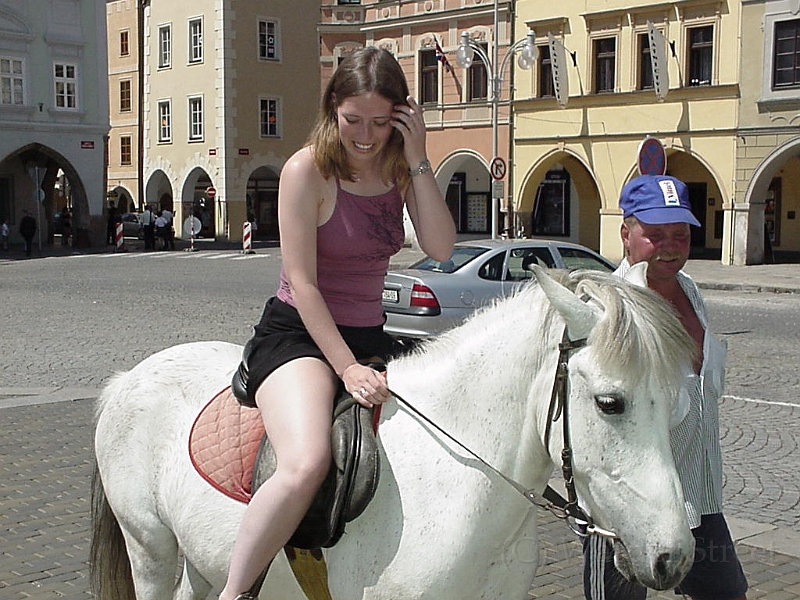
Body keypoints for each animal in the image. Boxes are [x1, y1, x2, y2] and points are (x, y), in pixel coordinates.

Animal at [90, 268, 696, 600]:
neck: (456, 483)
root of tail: (127, 379)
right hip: (149, 546)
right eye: (610, 403)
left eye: (677, 404)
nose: (674, 557)